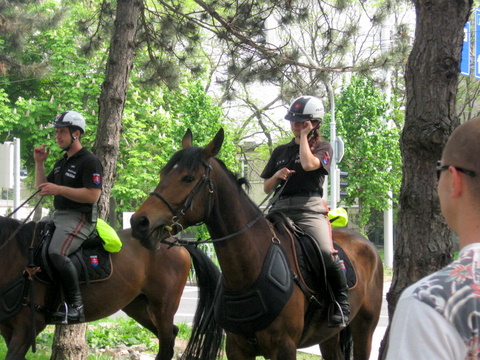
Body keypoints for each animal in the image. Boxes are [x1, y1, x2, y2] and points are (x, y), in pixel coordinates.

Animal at [0, 215, 221, 360]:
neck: (16, 256)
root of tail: (174, 242)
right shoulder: (8, 330)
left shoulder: (27, 328)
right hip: (138, 307)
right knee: (169, 336)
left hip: (163, 307)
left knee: (166, 341)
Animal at [129, 129, 384, 360]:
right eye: (163, 173)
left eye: (188, 178)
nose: (139, 222)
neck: (247, 270)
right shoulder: (237, 349)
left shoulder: (285, 349)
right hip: (328, 336)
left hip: (364, 328)